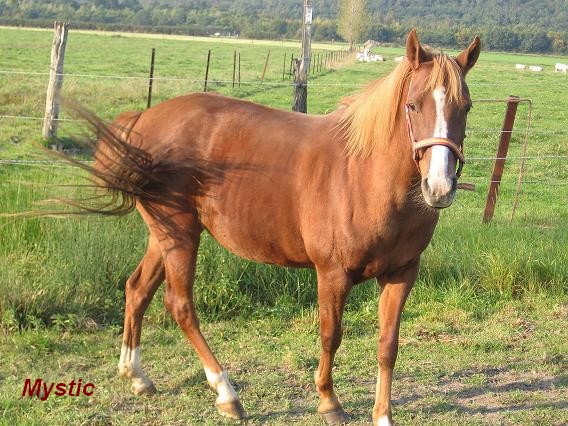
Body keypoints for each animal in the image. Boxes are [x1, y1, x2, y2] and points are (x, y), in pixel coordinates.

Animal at [71, 30, 482, 426]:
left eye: (466, 107)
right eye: (413, 105)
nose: (439, 187)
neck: (366, 176)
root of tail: (144, 119)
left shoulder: (401, 274)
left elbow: (387, 345)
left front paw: (382, 415)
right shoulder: (332, 274)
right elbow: (331, 335)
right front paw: (329, 402)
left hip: (165, 234)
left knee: (137, 289)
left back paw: (136, 375)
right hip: (181, 234)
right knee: (180, 304)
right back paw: (226, 394)